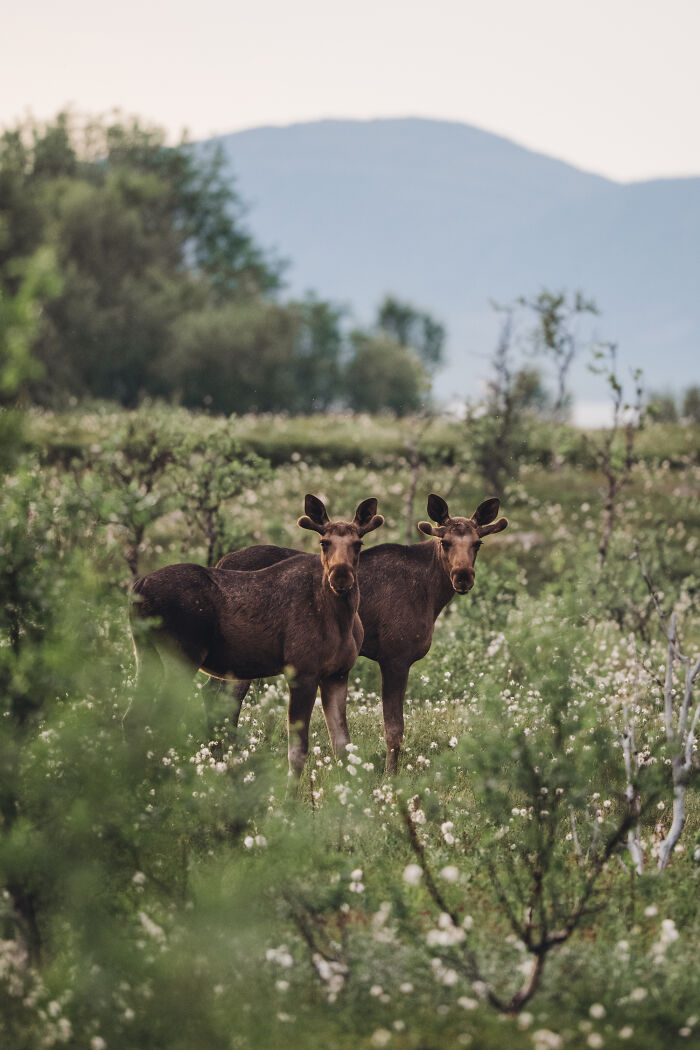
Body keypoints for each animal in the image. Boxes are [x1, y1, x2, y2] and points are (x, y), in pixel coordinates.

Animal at [129, 495, 384, 776]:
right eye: (323, 542)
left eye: (358, 544)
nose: (340, 576)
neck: (342, 621)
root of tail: (138, 587)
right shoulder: (302, 671)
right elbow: (297, 751)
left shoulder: (338, 674)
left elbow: (342, 745)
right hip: (181, 657)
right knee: (160, 717)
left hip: (146, 653)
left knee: (134, 716)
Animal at [213, 494, 508, 773]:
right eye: (445, 542)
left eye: (477, 544)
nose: (463, 577)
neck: (432, 594)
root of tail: (220, 562)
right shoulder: (395, 657)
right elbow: (394, 729)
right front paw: (390, 776)